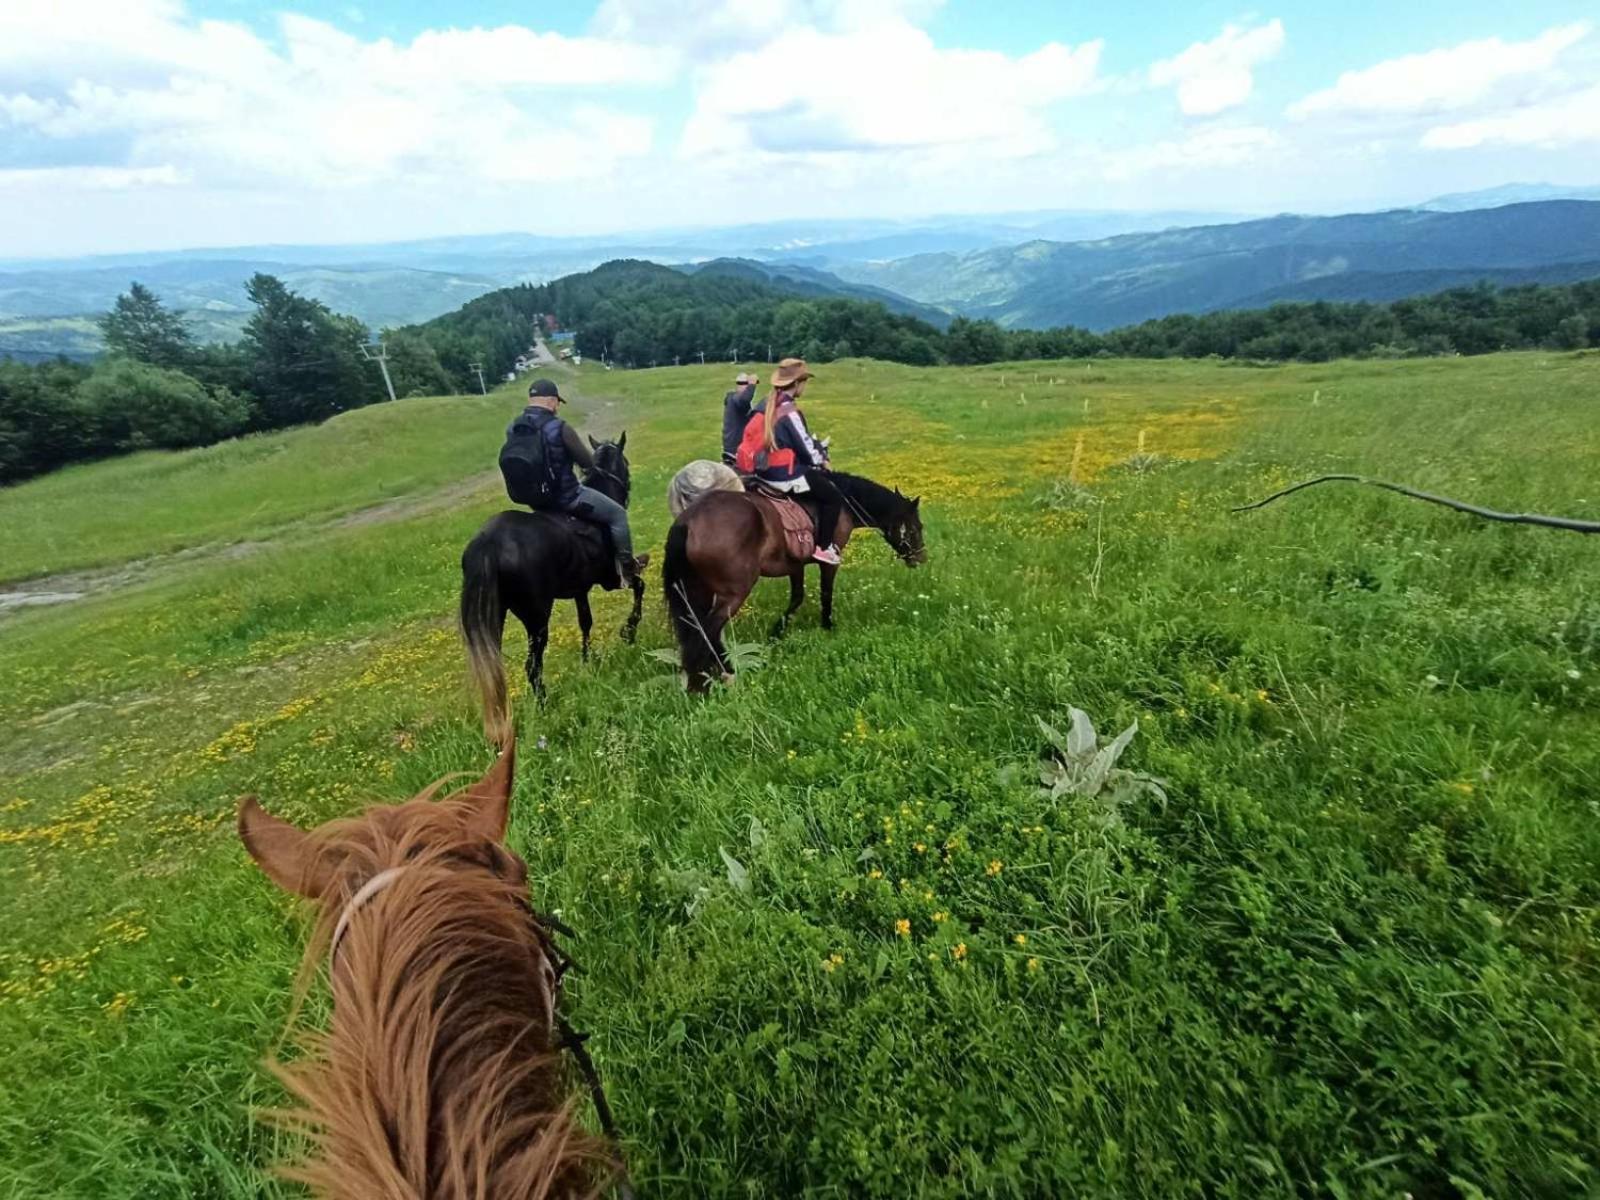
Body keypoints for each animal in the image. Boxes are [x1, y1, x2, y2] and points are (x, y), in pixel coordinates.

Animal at [460, 438, 640, 748]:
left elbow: (585, 621)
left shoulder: (581, 589)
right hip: (536, 617)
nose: (628, 488)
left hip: (495, 617)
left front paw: (588, 659)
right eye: (625, 462)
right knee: (532, 666)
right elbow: (638, 586)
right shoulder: (611, 579)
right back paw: (544, 706)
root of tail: (488, 542)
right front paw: (628, 631)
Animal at [656, 473, 928, 691]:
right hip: (734, 592)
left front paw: (776, 634)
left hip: (698, 590)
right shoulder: (829, 563)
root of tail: (688, 521)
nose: (921, 558)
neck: (844, 503)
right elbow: (825, 594)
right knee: (708, 630)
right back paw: (725, 672)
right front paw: (828, 626)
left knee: (696, 630)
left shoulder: (795, 566)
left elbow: (797, 598)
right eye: (916, 527)